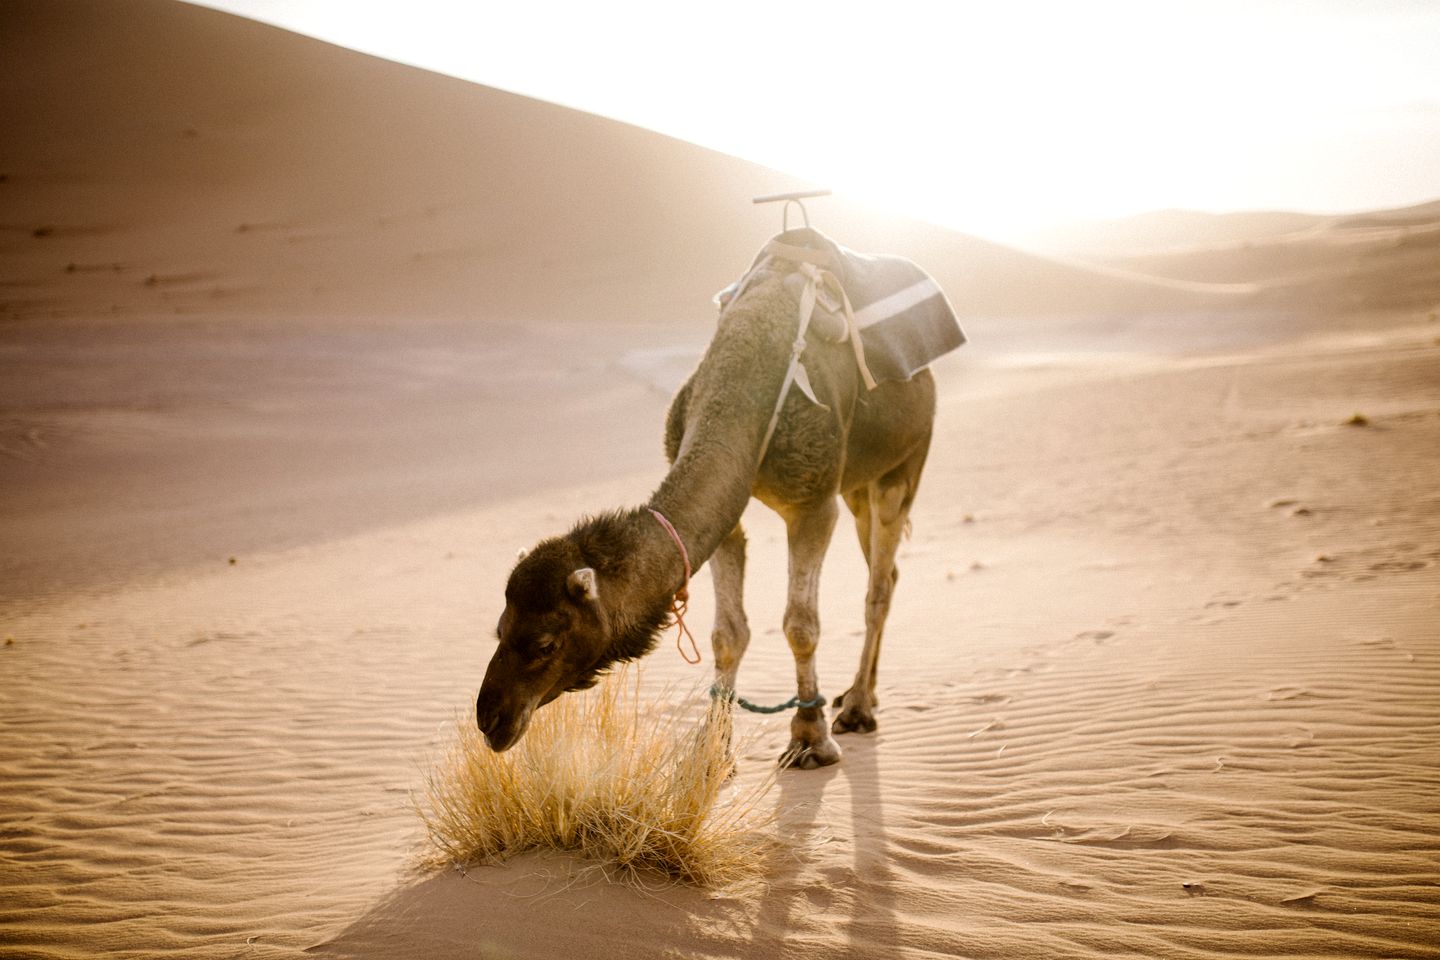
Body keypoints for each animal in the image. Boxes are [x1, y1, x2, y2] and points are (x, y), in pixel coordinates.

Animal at [472, 228, 961, 771]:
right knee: (887, 573)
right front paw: (711, 747)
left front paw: (809, 738)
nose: (491, 718)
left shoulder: (813, 502)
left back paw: (856, 709)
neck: (741, 399)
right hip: (858, 485)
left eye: (544, 643)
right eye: (500, 628)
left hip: (904, 462)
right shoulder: (727, 521)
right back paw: (863, 694)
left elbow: (800, 626)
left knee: (877, 585)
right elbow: (727, 634)